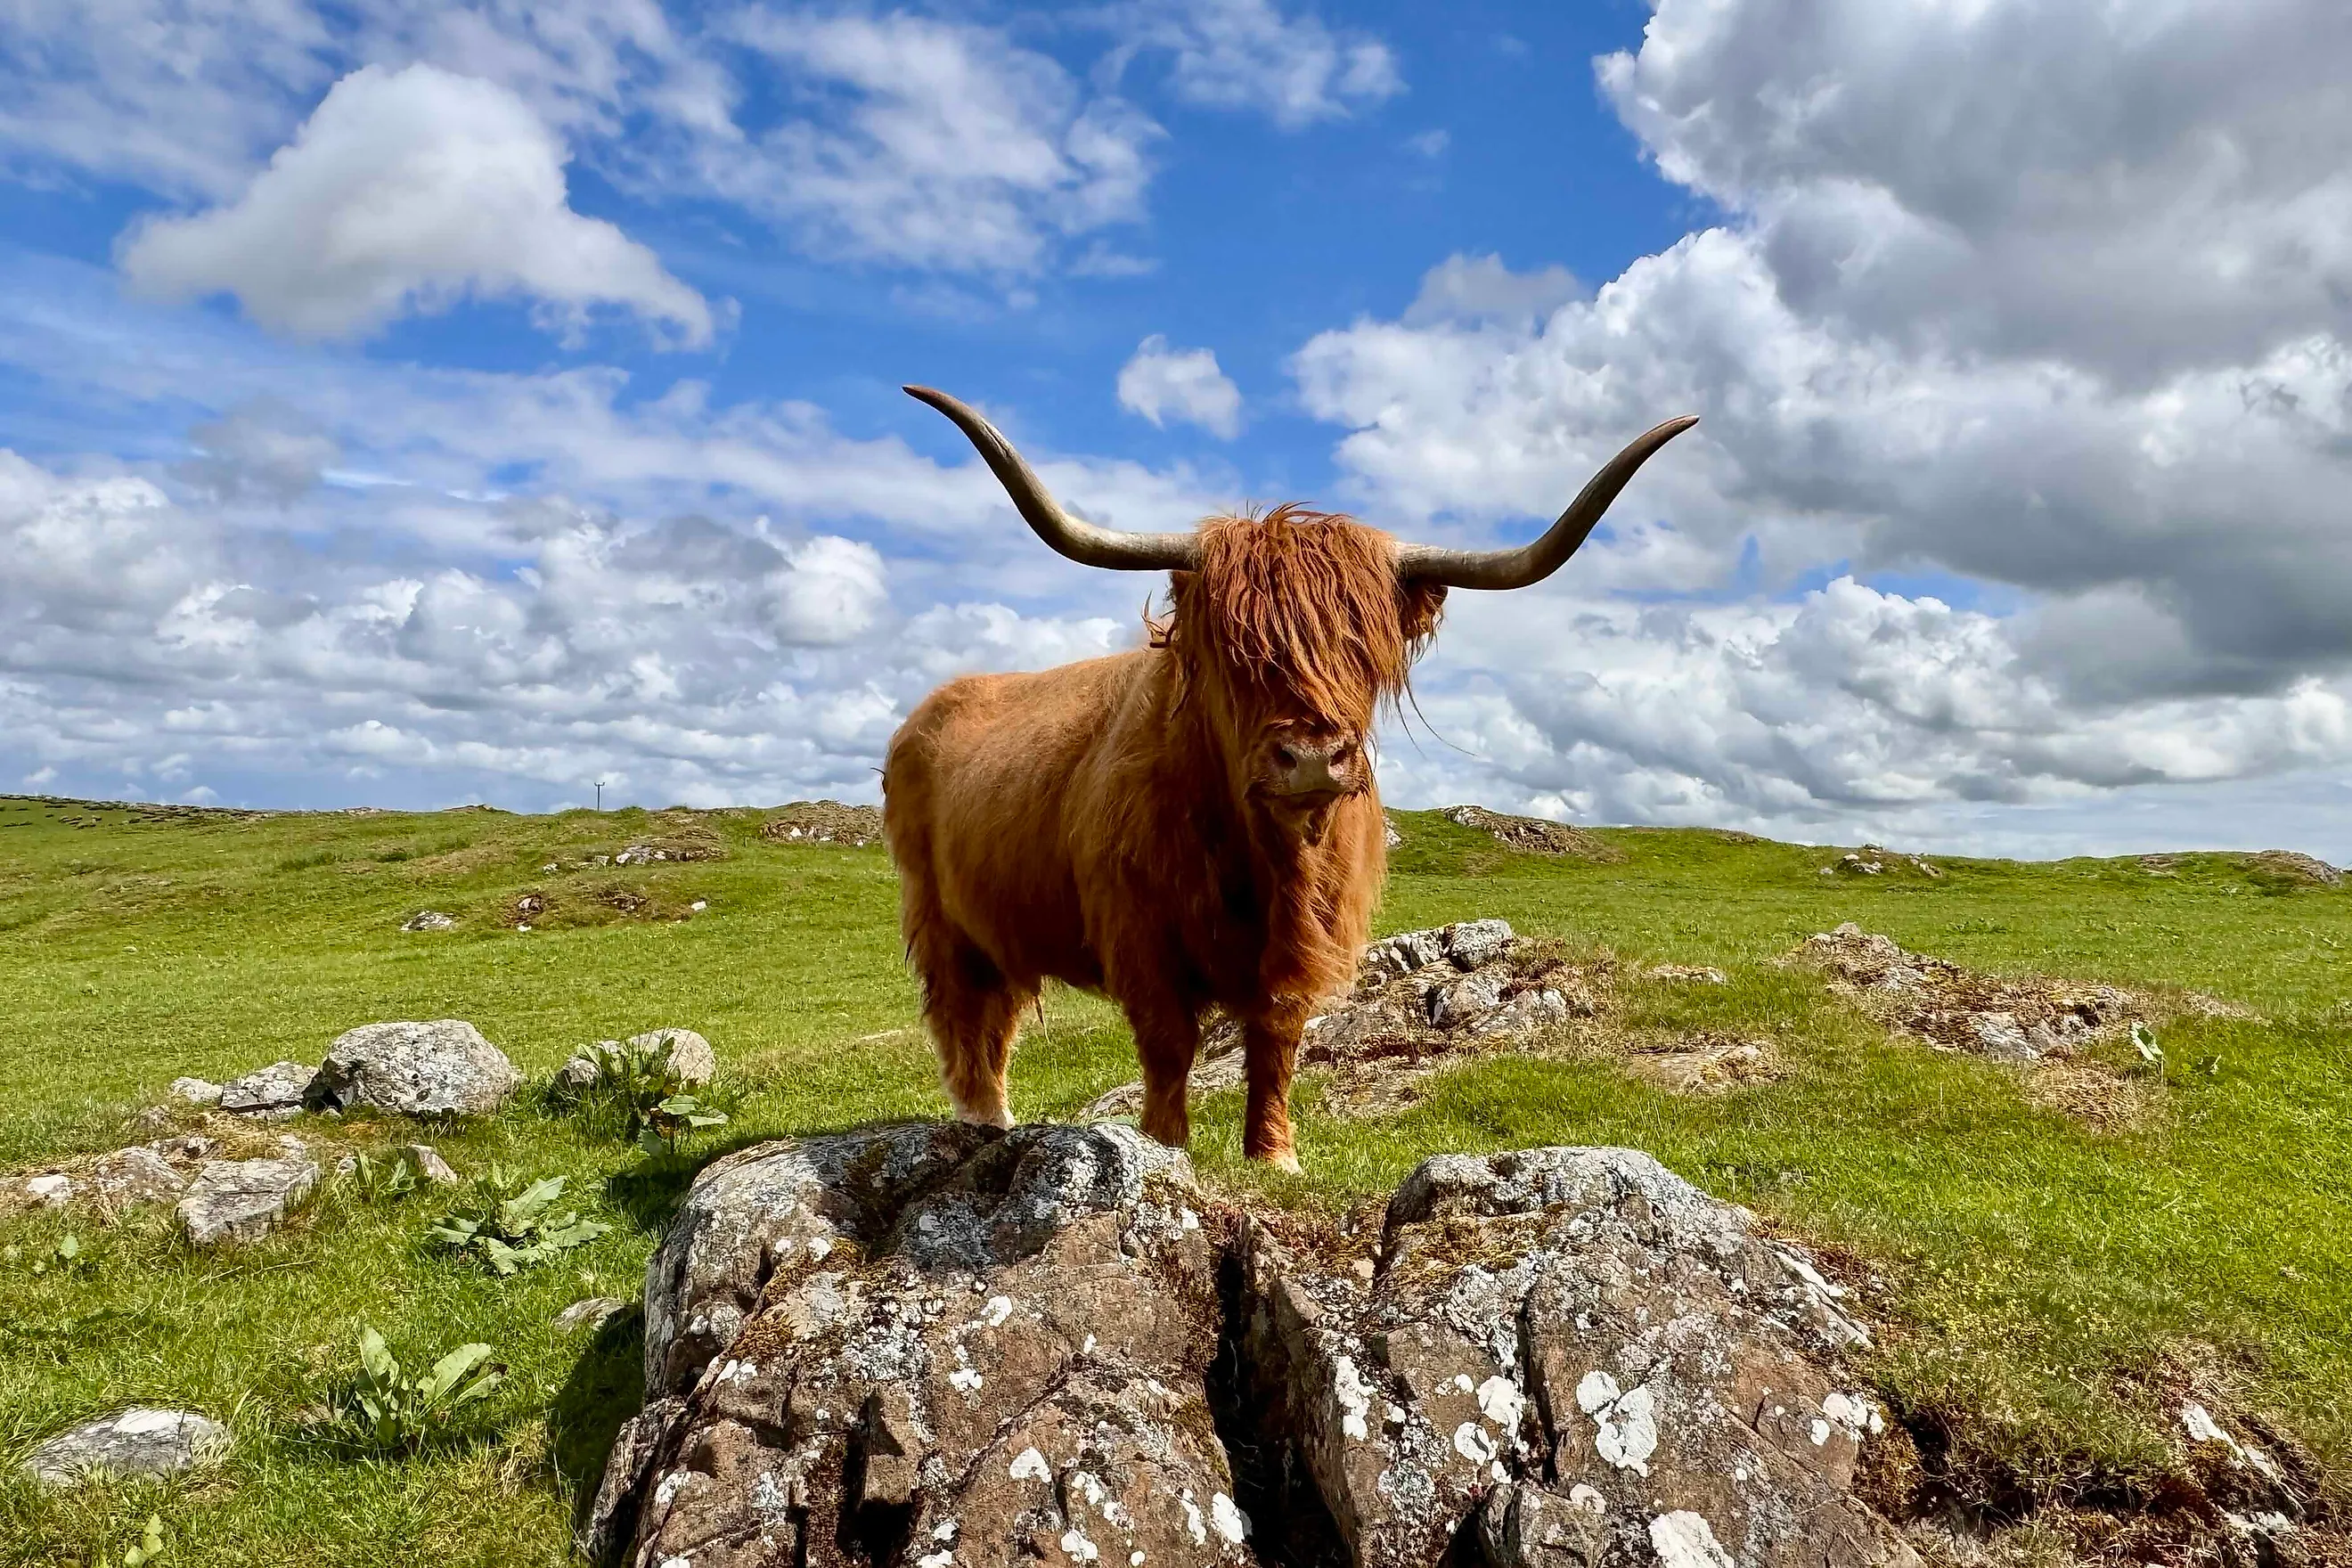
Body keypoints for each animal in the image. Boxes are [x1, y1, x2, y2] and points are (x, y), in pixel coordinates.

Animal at [882, 385, 1695, 1170]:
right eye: (1236, 649)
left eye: (1364, 649)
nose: (1310, 757)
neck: (1265, 862)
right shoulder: (1138, 933)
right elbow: (1169, 1043)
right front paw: (1166, 1149)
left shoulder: (1309, 942)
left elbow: (1276, 1040)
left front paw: (1274, 1157)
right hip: (939, 917)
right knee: (965, 1019)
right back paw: (985, 1122)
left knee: (998, 1018)